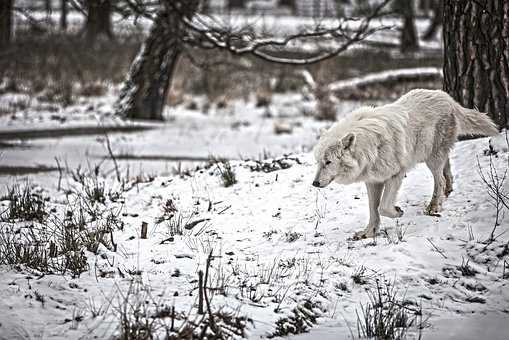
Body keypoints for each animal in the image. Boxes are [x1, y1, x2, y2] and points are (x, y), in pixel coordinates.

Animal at [312, 89, 498, 240]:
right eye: (318, 162)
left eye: (328, 162)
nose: (314, 183)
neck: (369, 147)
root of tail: (448, 99)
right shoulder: (373, 181)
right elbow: (373, 209)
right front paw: (369, 233)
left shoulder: (396, 174)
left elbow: (383, 207)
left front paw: (398, 212)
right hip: (432, 155)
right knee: (447, 171)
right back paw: (447, 192)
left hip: (431, 158)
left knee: (440, 180)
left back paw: (433, 207)